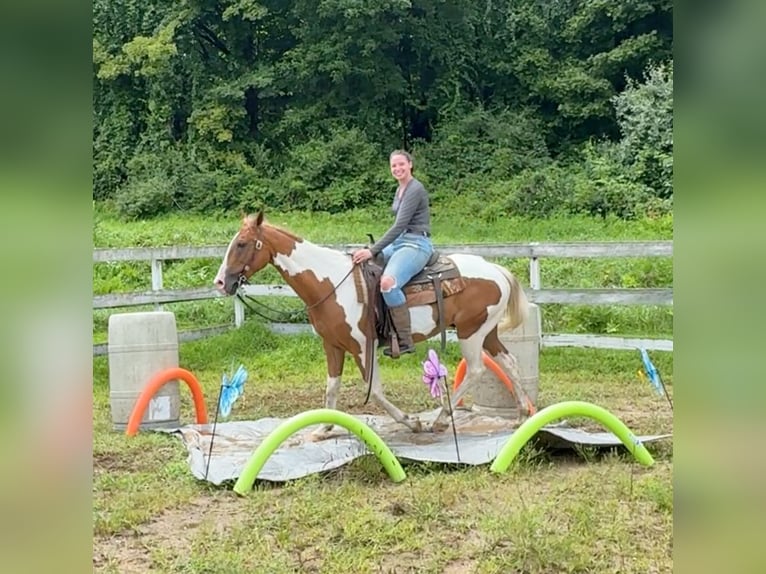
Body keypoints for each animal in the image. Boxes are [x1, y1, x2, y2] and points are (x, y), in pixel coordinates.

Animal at [213, 214, 532, 434]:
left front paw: (412, 422)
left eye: (241, 244)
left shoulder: (362, 347)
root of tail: (497, 270)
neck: (330, 282)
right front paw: (324, 428)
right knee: (510, 362)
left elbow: (374, 390)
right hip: (487, 332)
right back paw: (521, 415)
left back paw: (441, 419)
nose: (220, 282)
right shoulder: (333, 345)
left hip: (471, 333)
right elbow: (331, 387)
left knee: (477, 370)